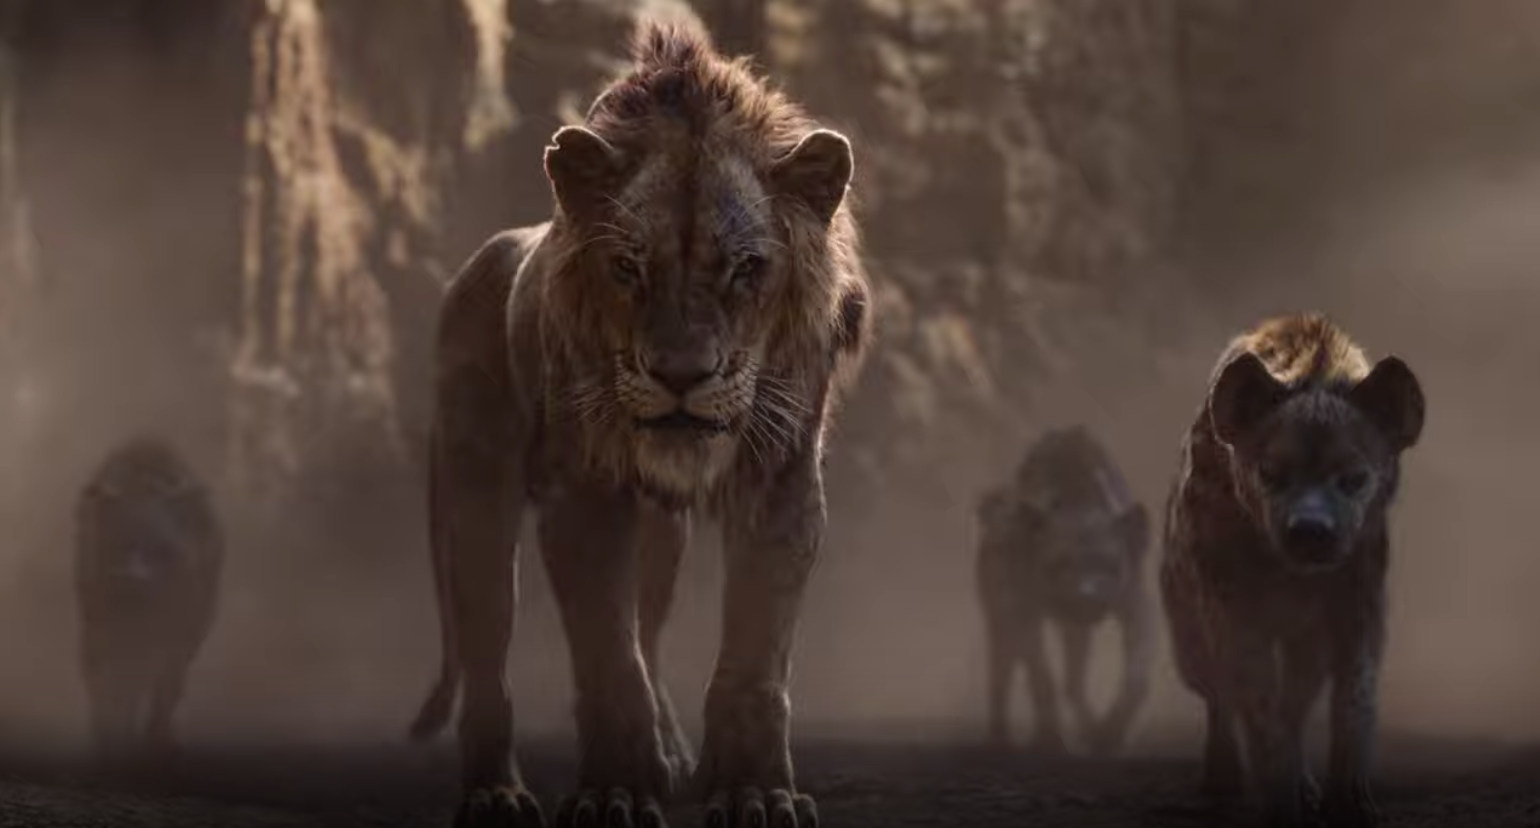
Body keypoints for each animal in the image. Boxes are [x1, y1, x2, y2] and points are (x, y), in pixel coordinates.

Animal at [74, 436, 223, 767]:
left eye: (161, 549)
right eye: (119, 545)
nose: (135, 580)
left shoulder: (179, 639)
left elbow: (164, 694)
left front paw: (155, 742)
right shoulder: (103, 635)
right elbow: (111, 696)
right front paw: (112, 744)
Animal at [407, 21, 870, 828]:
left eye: (746, 269)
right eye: (628, 268)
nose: (681, 376)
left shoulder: (782, 486)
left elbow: (753, 661)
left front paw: (753, 791)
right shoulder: (585, 496)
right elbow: (607, 659)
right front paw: (615, 792)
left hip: (661, 538)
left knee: (649, 630)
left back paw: (673, 754)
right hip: (475, 497)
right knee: (489, 651)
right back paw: (496, 794)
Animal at [975, 425, 1153, 758]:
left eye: (1107, 563)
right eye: (1060, 563)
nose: (1087, 594)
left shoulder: (1136, 605)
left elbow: (1136, 676)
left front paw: (1109, 734)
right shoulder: (1023, 613)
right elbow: (1042, 678)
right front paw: (1050, 740)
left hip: (1074, 635)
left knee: (1074, 683)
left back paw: (1089, 729)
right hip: (999, 623)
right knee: (1000, 678)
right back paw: (998, 738)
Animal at [1160, 313, 1425, 828]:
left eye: (1354, 478)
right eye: (1270, 472)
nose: (1310, 530)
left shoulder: (1357, 599)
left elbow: (1353, 694)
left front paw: (1348, 801)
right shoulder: (1230, 603)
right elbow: (1257, 702)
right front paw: (1278, 802)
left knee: (1296, 703)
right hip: (1187, 631)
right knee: (1217, 693)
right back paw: (1221, 780)